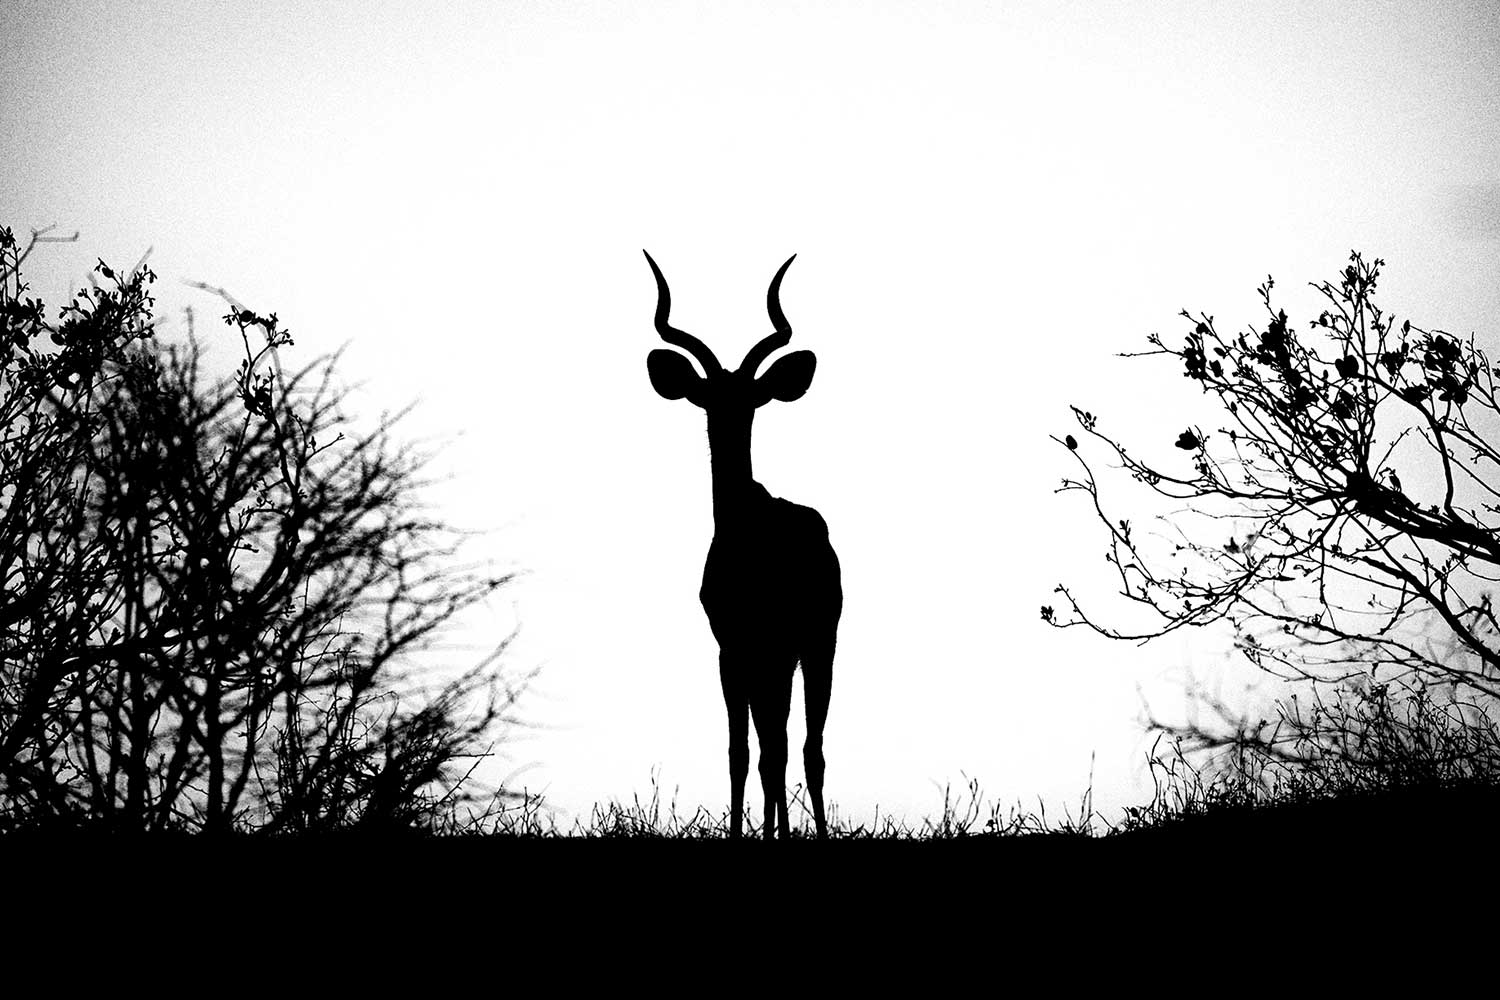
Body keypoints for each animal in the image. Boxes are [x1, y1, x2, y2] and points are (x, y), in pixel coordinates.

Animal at [642, 250, 843, 840]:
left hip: (817, 643)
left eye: (751, 400)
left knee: (807, 747)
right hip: (779, 656)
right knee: (779, 742)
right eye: (708, 398)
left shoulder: (769, 644)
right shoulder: (732, 647)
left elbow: (771, 749)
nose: (727, 427)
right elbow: (741, 751)